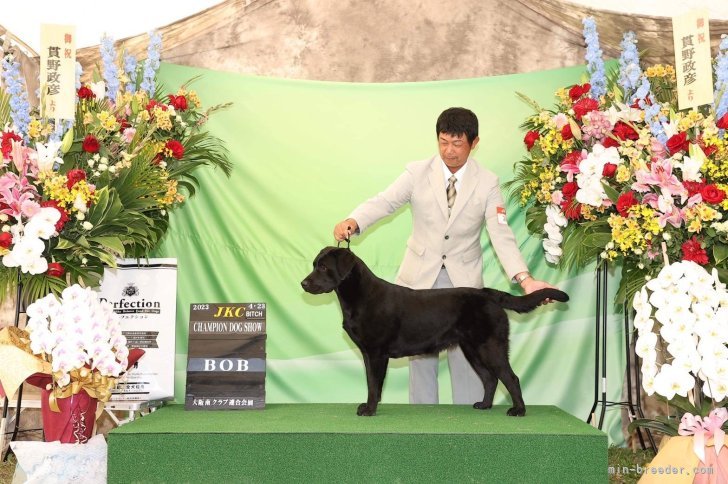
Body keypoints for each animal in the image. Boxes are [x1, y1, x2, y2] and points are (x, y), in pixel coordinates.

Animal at [300, 246, 568, 416]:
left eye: (323, 267)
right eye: (314, 265)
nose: (303, 283)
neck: (359, 296)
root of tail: (489, 294)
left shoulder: (377, 353)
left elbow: (375, 385)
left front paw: (369, 410)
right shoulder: (368, 353)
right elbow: (370, 383)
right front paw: (367, 406)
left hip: (490, 347)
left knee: (510, 378)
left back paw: (519, 410)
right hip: (472, 349)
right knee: (490, 378)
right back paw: (484, 405)